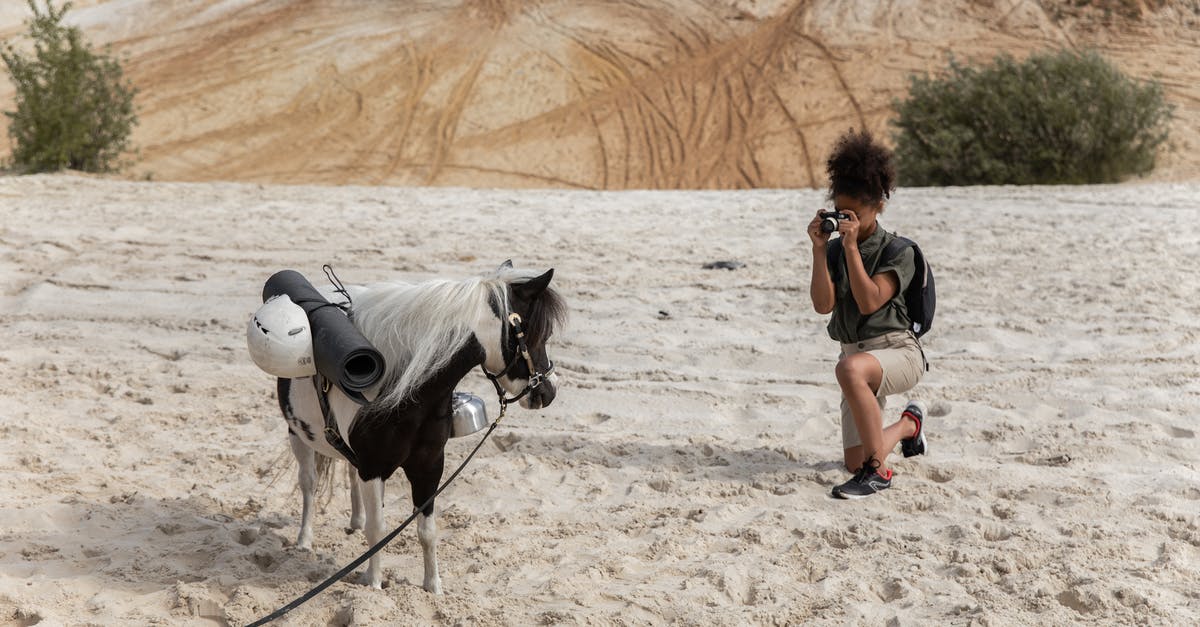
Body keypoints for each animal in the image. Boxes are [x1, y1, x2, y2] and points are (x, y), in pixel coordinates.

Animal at [276, 259, 566, 590]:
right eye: (541, 334)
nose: (549, 392)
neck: (405, 391)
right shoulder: (374, 468)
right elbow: (377, 530)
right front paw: (374, 585)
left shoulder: (429, 465)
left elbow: (427, 531)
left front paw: (433, 586)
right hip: (297, 434)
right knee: (309, 483)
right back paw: (304, 540)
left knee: (348, 473)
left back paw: (354, 521)